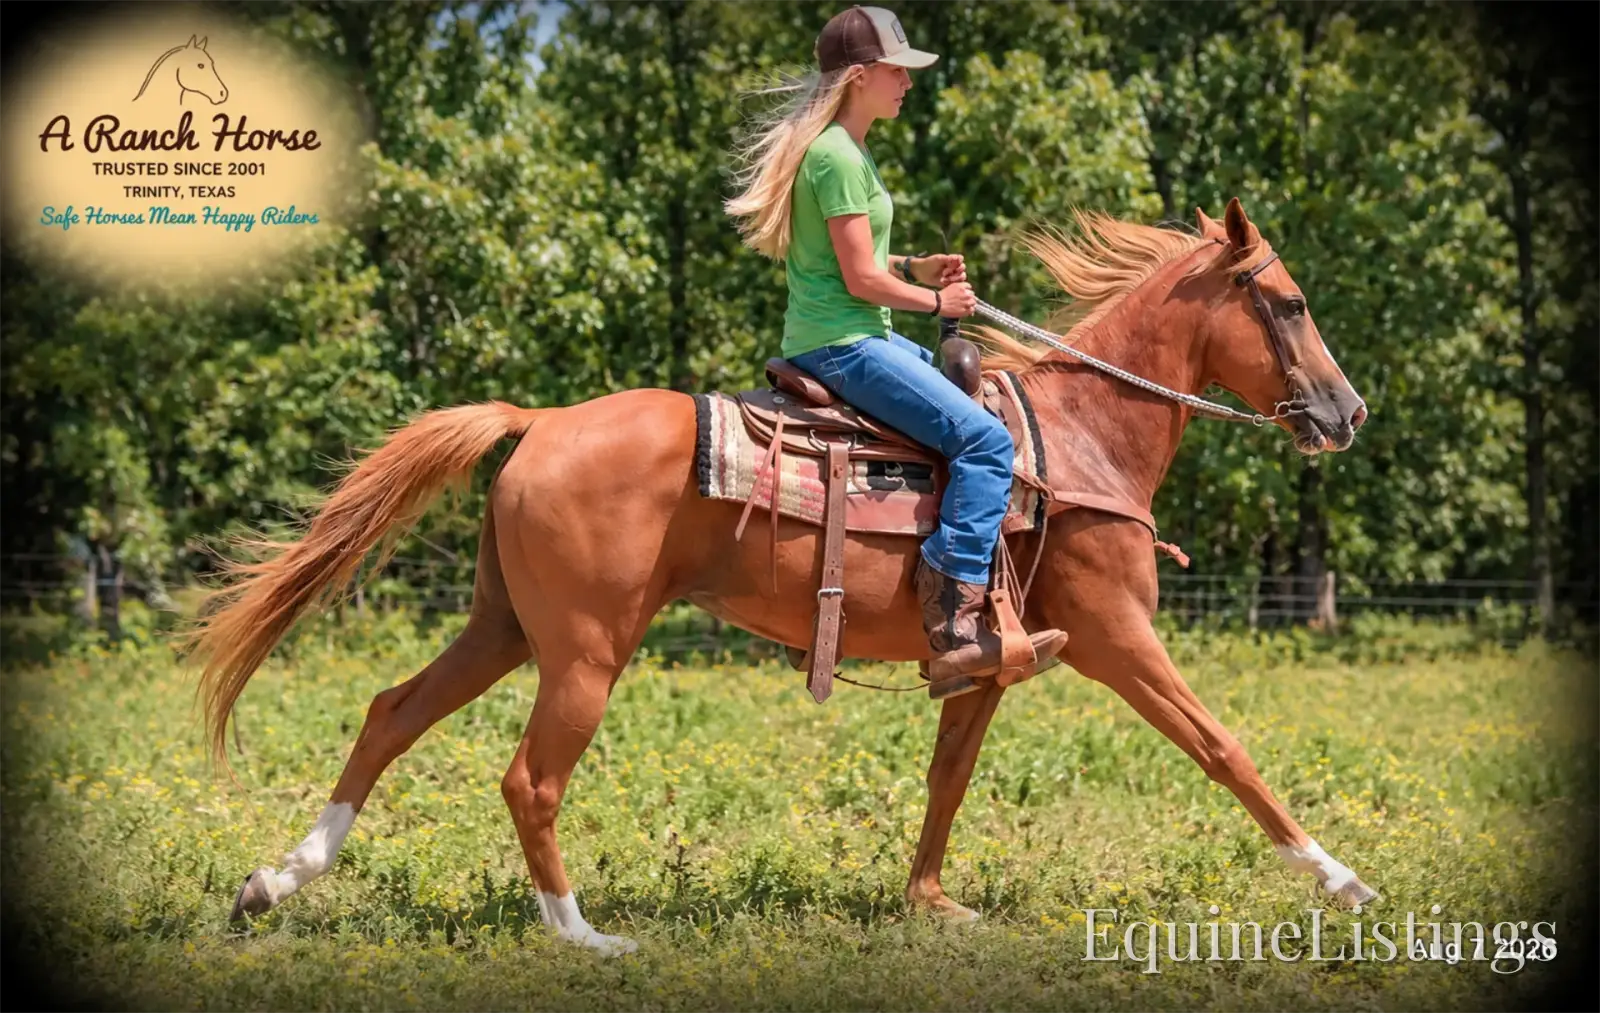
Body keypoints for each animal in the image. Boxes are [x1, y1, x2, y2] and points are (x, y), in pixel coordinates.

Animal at [183, 197, 1374, 956]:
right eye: (1290, 302)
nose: (1347, 412)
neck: (1080, 435)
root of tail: (540, 420)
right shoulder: (1119, 633)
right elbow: (1223, 747)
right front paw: (1342, 878)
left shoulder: (985, 661)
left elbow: (947, 778)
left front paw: (929, 902)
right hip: (584, 652)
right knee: (530, 778)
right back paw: (581, 935)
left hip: (502, 626)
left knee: (391, 713)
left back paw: (272, 881)